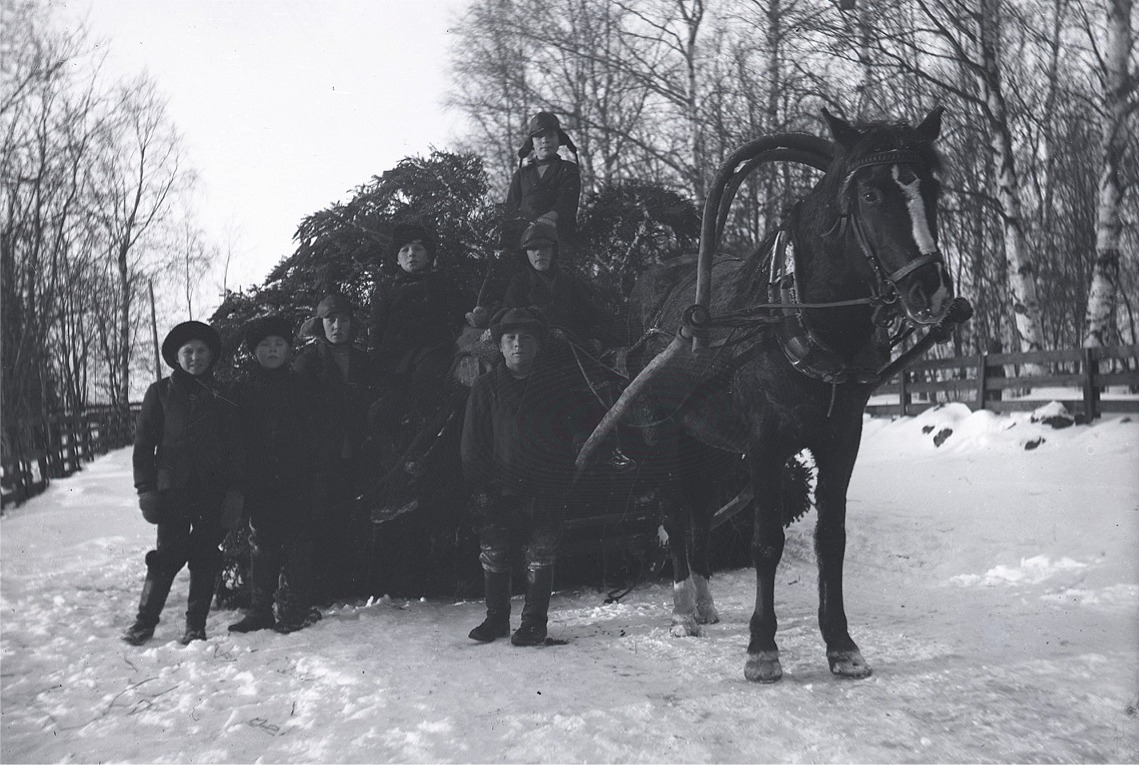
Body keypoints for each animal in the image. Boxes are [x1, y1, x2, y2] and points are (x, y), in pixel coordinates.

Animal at [578, 105, 970, 683]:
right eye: (870, 194)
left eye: (932, 190)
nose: (931, 290)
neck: (800, 316)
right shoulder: (764, 442)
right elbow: (766, 543)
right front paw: (762, 648)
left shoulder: (841, 437)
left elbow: (832, 539)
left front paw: (841, 644)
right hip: (663, 432)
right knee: (672, 511)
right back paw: (682, 610)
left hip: (711, 443)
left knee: (698, 513)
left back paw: (704, 600)